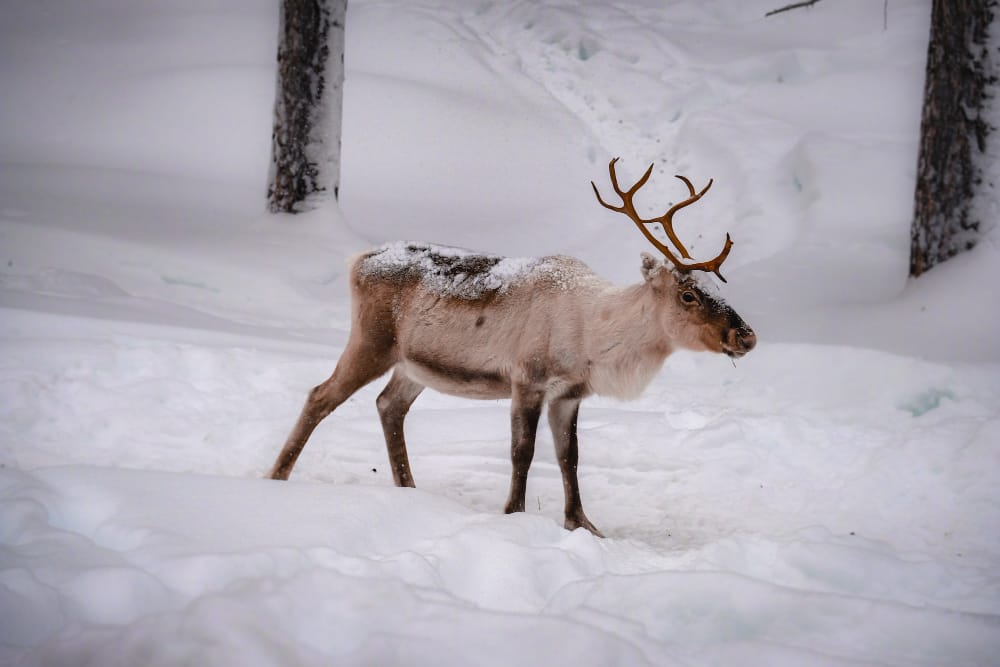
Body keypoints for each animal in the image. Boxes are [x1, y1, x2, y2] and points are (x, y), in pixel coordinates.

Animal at [268, 158, 756, 537]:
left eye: (717, 287)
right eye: (688, 295)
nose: (746, 335)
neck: (594, 338)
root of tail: (358, 260)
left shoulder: (569, 393)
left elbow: (569, 457)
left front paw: (583, 524)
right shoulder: (528, 380)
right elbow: (523, 452)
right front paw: (514, 513)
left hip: (411, 365)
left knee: (389, 405)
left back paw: (408, 489)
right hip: (371, 341)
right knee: (320, 395)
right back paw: (276, 477)